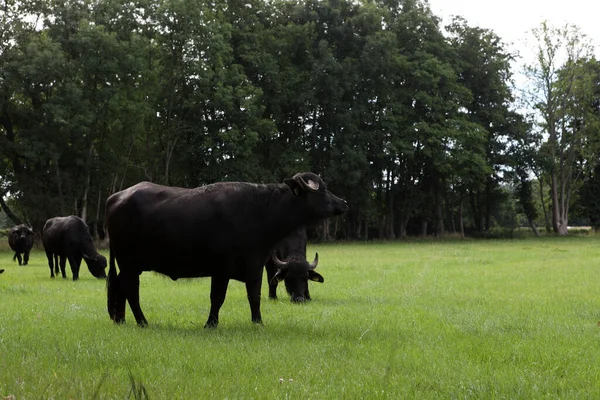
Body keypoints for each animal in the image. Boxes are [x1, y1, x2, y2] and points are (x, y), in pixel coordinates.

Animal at [105, 172, 344, 328]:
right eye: (322, 190)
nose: (343, 202)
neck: (260, 211)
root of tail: (116, 197)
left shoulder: (255, 267)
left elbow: (254, 296)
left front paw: (257, 322)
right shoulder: (223, 270)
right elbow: (218, 297)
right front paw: (211, 324)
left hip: (127, 265)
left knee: (121, 287)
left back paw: (121, 320)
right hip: (129, 264)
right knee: (131, 290)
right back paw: (142, 322)